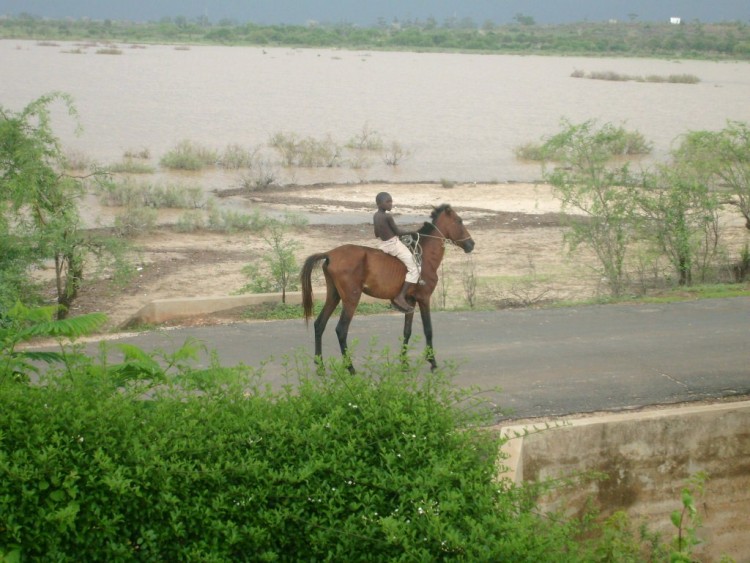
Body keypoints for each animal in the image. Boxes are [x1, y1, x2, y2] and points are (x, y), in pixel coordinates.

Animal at [302, 205, 472, 372]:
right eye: (459, 221)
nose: (472, 244)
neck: (425, 257)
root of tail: (330, 254)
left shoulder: (410, 301)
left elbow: (407, 331)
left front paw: (404, 363)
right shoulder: (424, 298)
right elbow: (428, 329)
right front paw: (432, 362)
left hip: (334, 295)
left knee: (319, 325)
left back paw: (320, 365)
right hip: (351, 298)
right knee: (341, 330)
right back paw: (350, 368)